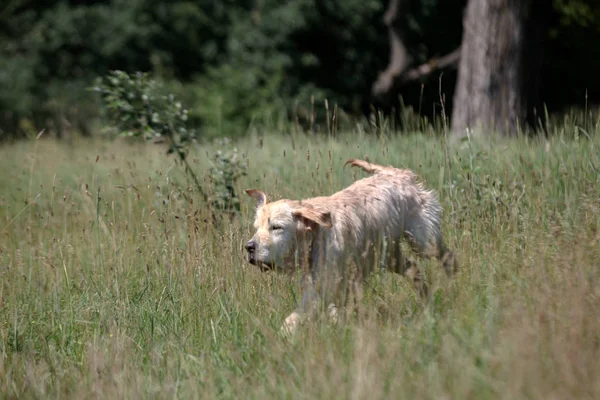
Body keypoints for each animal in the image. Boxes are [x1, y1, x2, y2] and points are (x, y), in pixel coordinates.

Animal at [244, 159, 454, 334]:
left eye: (276, 227)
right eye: (256, 228)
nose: (249, 247)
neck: (317, 235)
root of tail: (398, 173)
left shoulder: (325, 286)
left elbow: (295, 317)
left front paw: (284, 334)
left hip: (423, 241)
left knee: (446, 255)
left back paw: (452, 279)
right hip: (388, 255)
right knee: (414, 270)